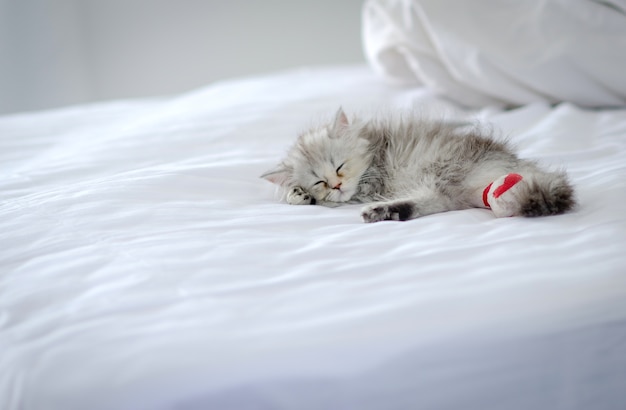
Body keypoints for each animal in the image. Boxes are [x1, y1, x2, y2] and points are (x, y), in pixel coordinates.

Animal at [260, 106, 572, 221]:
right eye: (320, 181)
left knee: (437, 199)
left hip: (440, 169)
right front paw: (298, 195)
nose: (336, 186)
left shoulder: (370, 184)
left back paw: (380, 210)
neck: (375, 147)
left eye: (339, 167)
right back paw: (387, 212)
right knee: (437, 202)